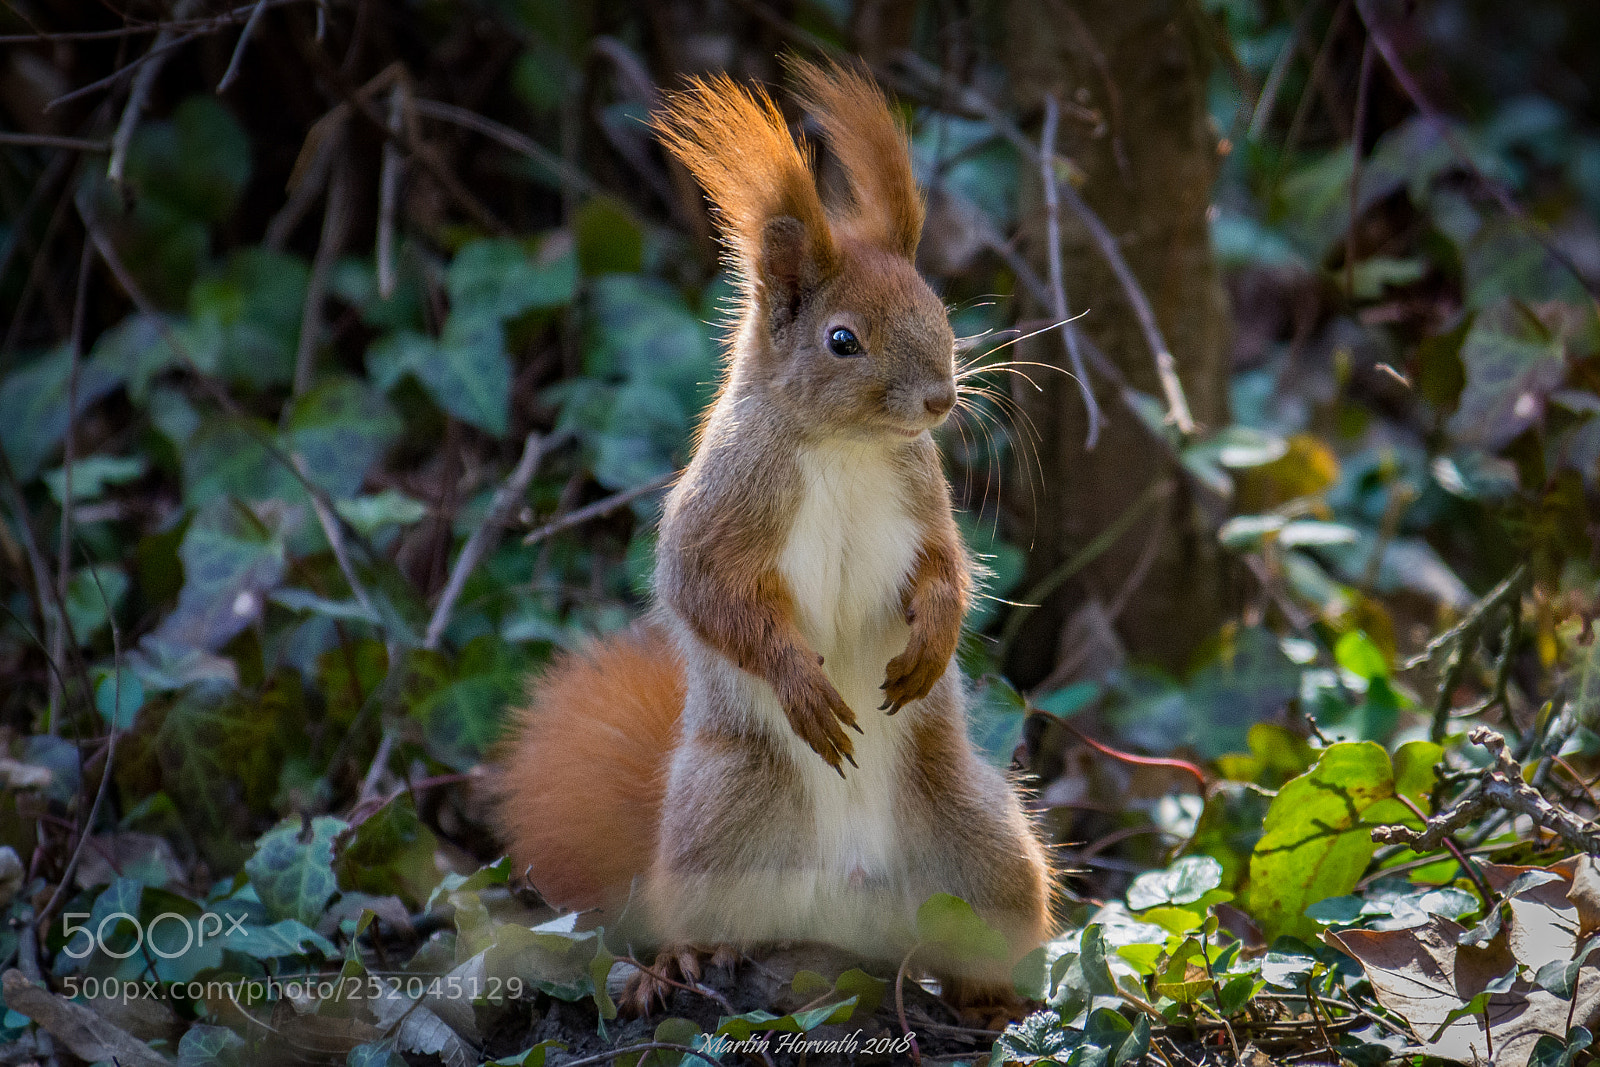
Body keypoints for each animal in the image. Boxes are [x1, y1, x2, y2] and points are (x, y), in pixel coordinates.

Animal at [492, 57, 1053, 1011]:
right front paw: (801, 682)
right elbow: (707, 593)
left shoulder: (922, 493)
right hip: (722, 811)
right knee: (691, 912)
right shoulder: (723, 507)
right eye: (842, 339)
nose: (941, 399)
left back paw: (993, 992)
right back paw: (678, 962)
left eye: (937, 306)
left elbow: (947, 566)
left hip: (983, 842)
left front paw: (934, 638)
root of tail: (854, 911)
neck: (845, 445)